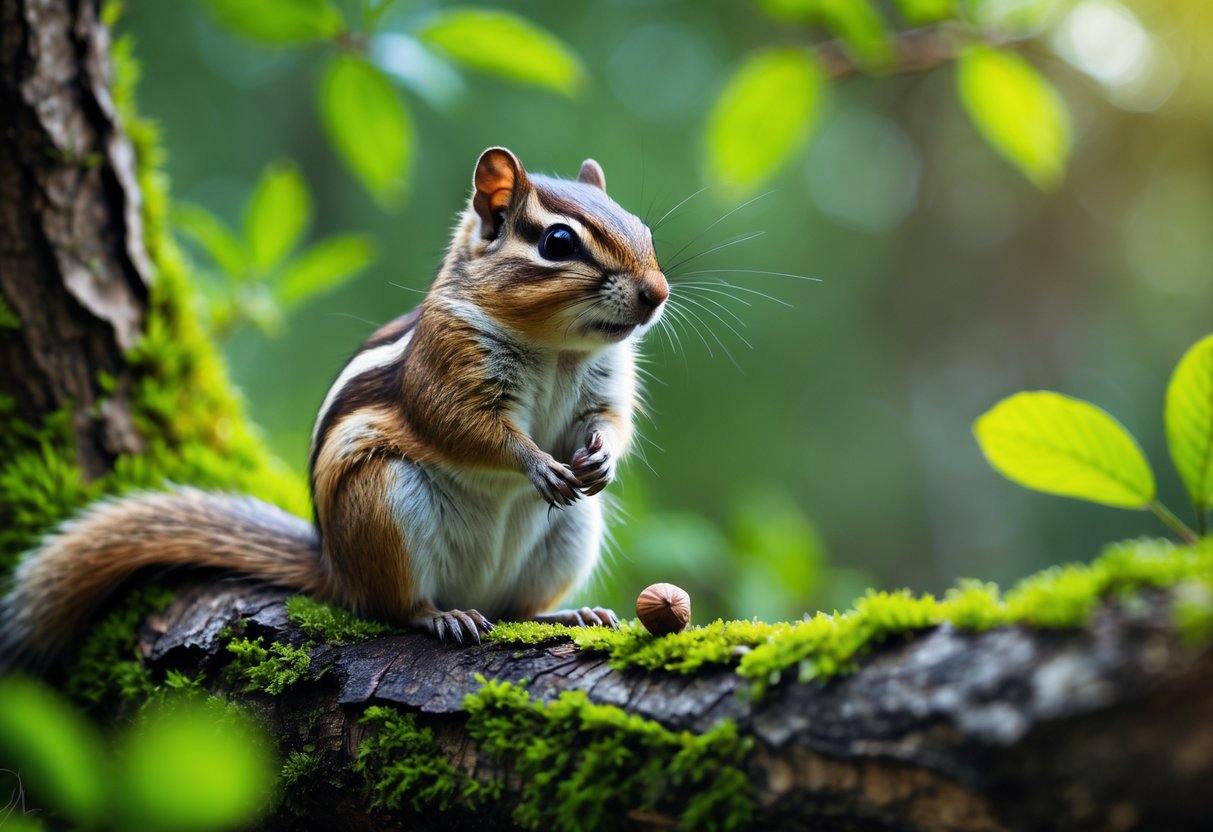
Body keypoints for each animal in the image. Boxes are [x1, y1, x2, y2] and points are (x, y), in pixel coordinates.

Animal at [0, 147, 669, 670]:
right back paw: (442, 616)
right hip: (383, 503)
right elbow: (468, 428)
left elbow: (610, 423)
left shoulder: (606, 384)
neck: (557, 348)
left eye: (644, 231)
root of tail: (334, 570)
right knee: (395, 606)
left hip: (572, 532)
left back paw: (571, 614)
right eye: (558, 242)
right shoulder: (446, 372)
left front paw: (601, 458)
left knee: (514, 609)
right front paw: (537, 464)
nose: (657, 293)